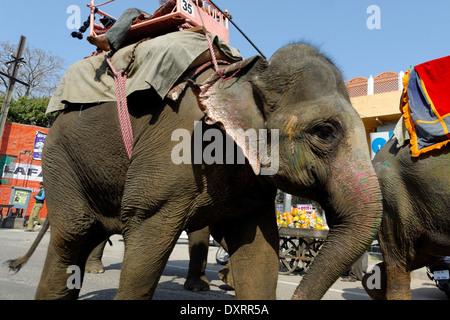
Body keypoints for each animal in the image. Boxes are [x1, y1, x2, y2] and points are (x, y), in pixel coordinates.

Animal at [26, 42, 382, 300]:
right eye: (325, 132)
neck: (246, 75)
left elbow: (259, 253)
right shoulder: (172, 155)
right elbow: (146, 241)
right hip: (59, 158)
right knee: (74, 233)